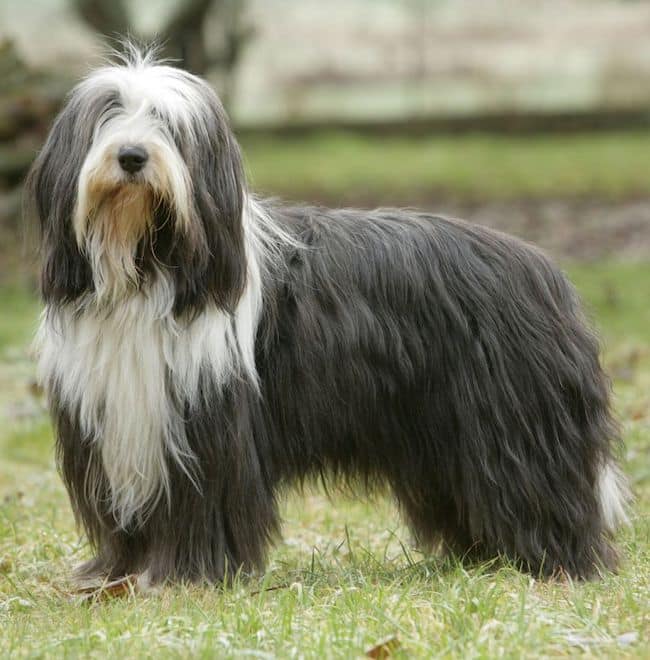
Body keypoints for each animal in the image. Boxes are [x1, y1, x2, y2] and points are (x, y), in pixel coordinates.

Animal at [26, 46, 628, 584]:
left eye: (170, 126)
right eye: (107, 115)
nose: (131, 155)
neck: (146, 269)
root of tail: (544, 269)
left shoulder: (207, 425)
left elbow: (203, 505)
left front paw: (184, 575)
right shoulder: (116, 422)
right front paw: (117, 574)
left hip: (514, 423)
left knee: (540, 489)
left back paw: (555, 561)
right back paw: (485, 556)